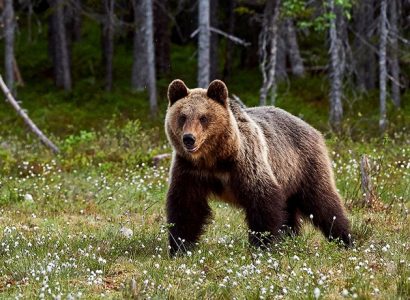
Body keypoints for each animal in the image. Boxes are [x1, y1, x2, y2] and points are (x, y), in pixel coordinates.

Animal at [165, 78, 350, 254]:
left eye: (203, 117)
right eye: (182, 117)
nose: (189, 138)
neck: (213, 159)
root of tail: (310, 127)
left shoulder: (246, 163)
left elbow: (262, 200)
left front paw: (262, 244)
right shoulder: (190, 170)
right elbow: (186, 206)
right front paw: (180, 247)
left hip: (305, 165)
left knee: (322, 201)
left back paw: (344, 239)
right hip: (287, 179)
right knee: (290, 210)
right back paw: (291, 237)